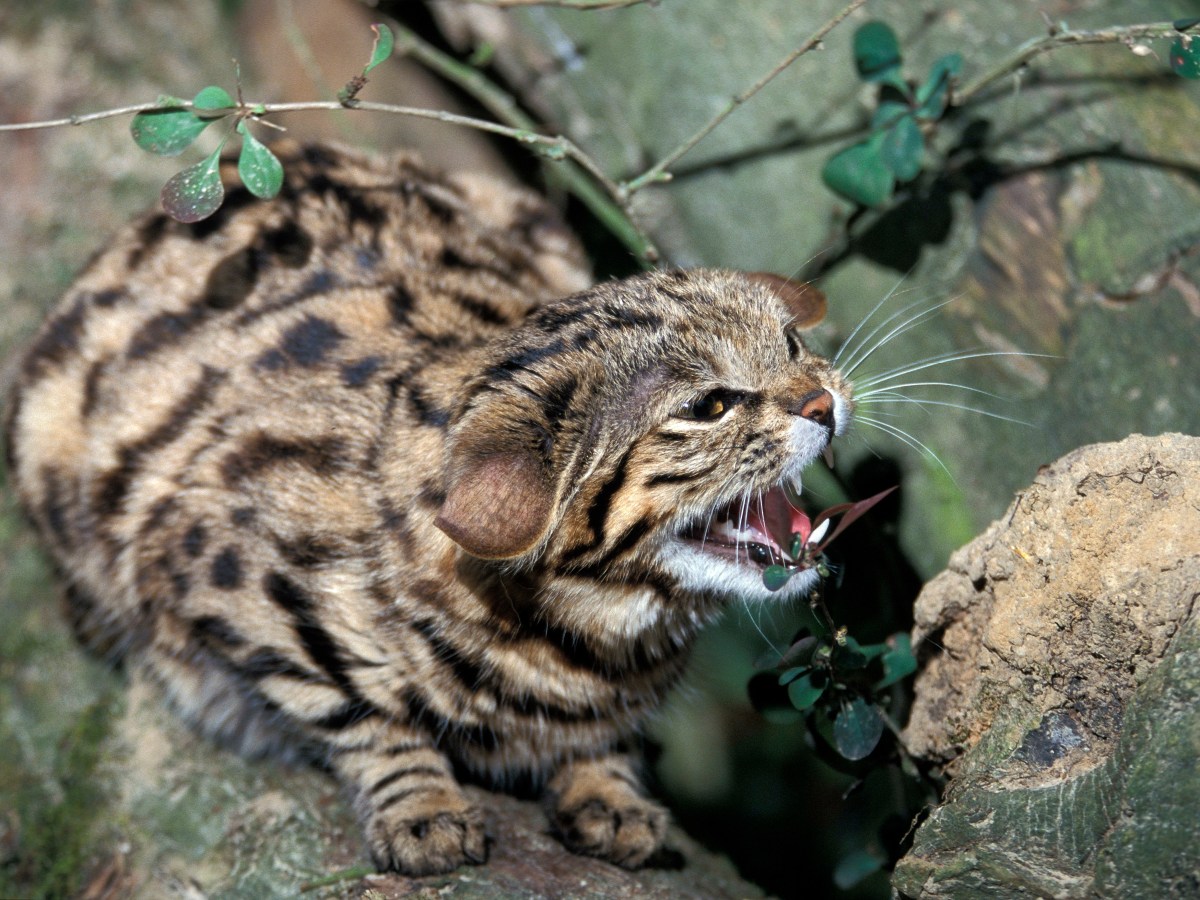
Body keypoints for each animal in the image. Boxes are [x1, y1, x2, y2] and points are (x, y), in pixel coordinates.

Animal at [7, 142, 864, 873]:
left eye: (792, 345)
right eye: (710, 405)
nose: (823, 402)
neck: (588, 643)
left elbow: (605, 745)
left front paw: (607, 785)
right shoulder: (210, 569)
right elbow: (356, 712)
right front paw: (420, 806)